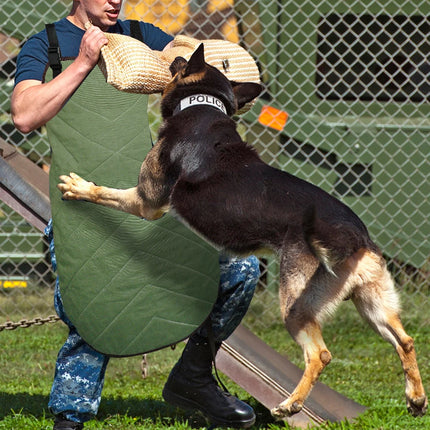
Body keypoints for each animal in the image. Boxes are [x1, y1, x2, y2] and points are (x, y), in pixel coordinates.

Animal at [58, 45, 426, 418]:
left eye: (181, 63)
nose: (173, 56)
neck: (203, 104)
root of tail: (356, 236)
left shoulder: (147, 202)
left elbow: (107, 193)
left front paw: (78, 188)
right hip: (372, 303)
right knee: (406, 340)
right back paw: (415, 398)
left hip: (296, 304)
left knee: (320, 354)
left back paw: (290, 404)